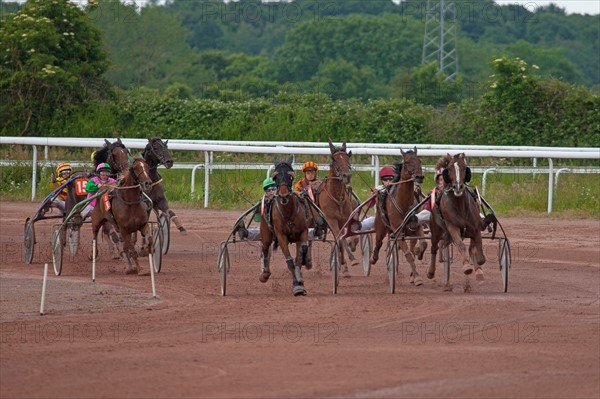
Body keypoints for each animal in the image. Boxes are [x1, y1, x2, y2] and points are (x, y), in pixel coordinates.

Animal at [258, 156, 310, 296]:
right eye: (275, 176)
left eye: (290, 176)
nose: (283, 195)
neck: (288, 213)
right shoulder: (281, 236)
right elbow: (290, 261)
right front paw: (297, 286)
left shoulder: (303, 232)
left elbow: (301, 254)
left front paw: (301, 276)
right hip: (265, 232)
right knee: (265, 248)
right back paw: (265, 273)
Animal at [368, 148, 428, 286]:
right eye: (406, 162)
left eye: (420, 160)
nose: (419, 177)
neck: (404, 203)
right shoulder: (398, 232)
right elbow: (408, 254)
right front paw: (417, 277)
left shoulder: (417, 226)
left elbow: (423, 244)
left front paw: (419, 253)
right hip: (381, 227)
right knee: (378, 242)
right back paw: (373, 258)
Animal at [426, 152, 488, 282]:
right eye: (449, 169)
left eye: (464, 168)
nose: (458, 187)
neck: (460, 207)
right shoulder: (452, 226)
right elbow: (461, 245)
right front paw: (467, 267)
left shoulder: (475, 228)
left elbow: (478, 253)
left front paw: (478, 270)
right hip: (435, 230)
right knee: (434, 247)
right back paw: (430, 271)